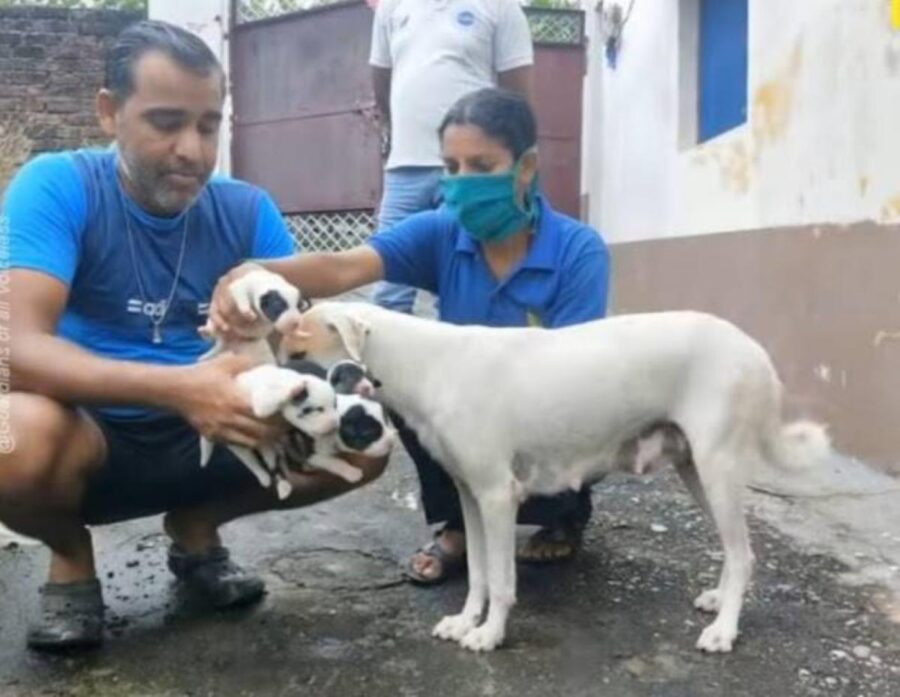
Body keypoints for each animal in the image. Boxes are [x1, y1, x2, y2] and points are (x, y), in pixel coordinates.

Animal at [280, 300, 828, 652]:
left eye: (298, 355)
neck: (424, 364)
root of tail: (753, 348)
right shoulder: (471, 496)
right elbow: (478, 573)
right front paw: (466, 620)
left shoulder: (498, 497)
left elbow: (502, 579)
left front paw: (489, 634)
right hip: (696, 470)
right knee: (734, 552)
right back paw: (718, 602)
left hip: (717, 469)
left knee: (745, 554)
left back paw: (724, 630)